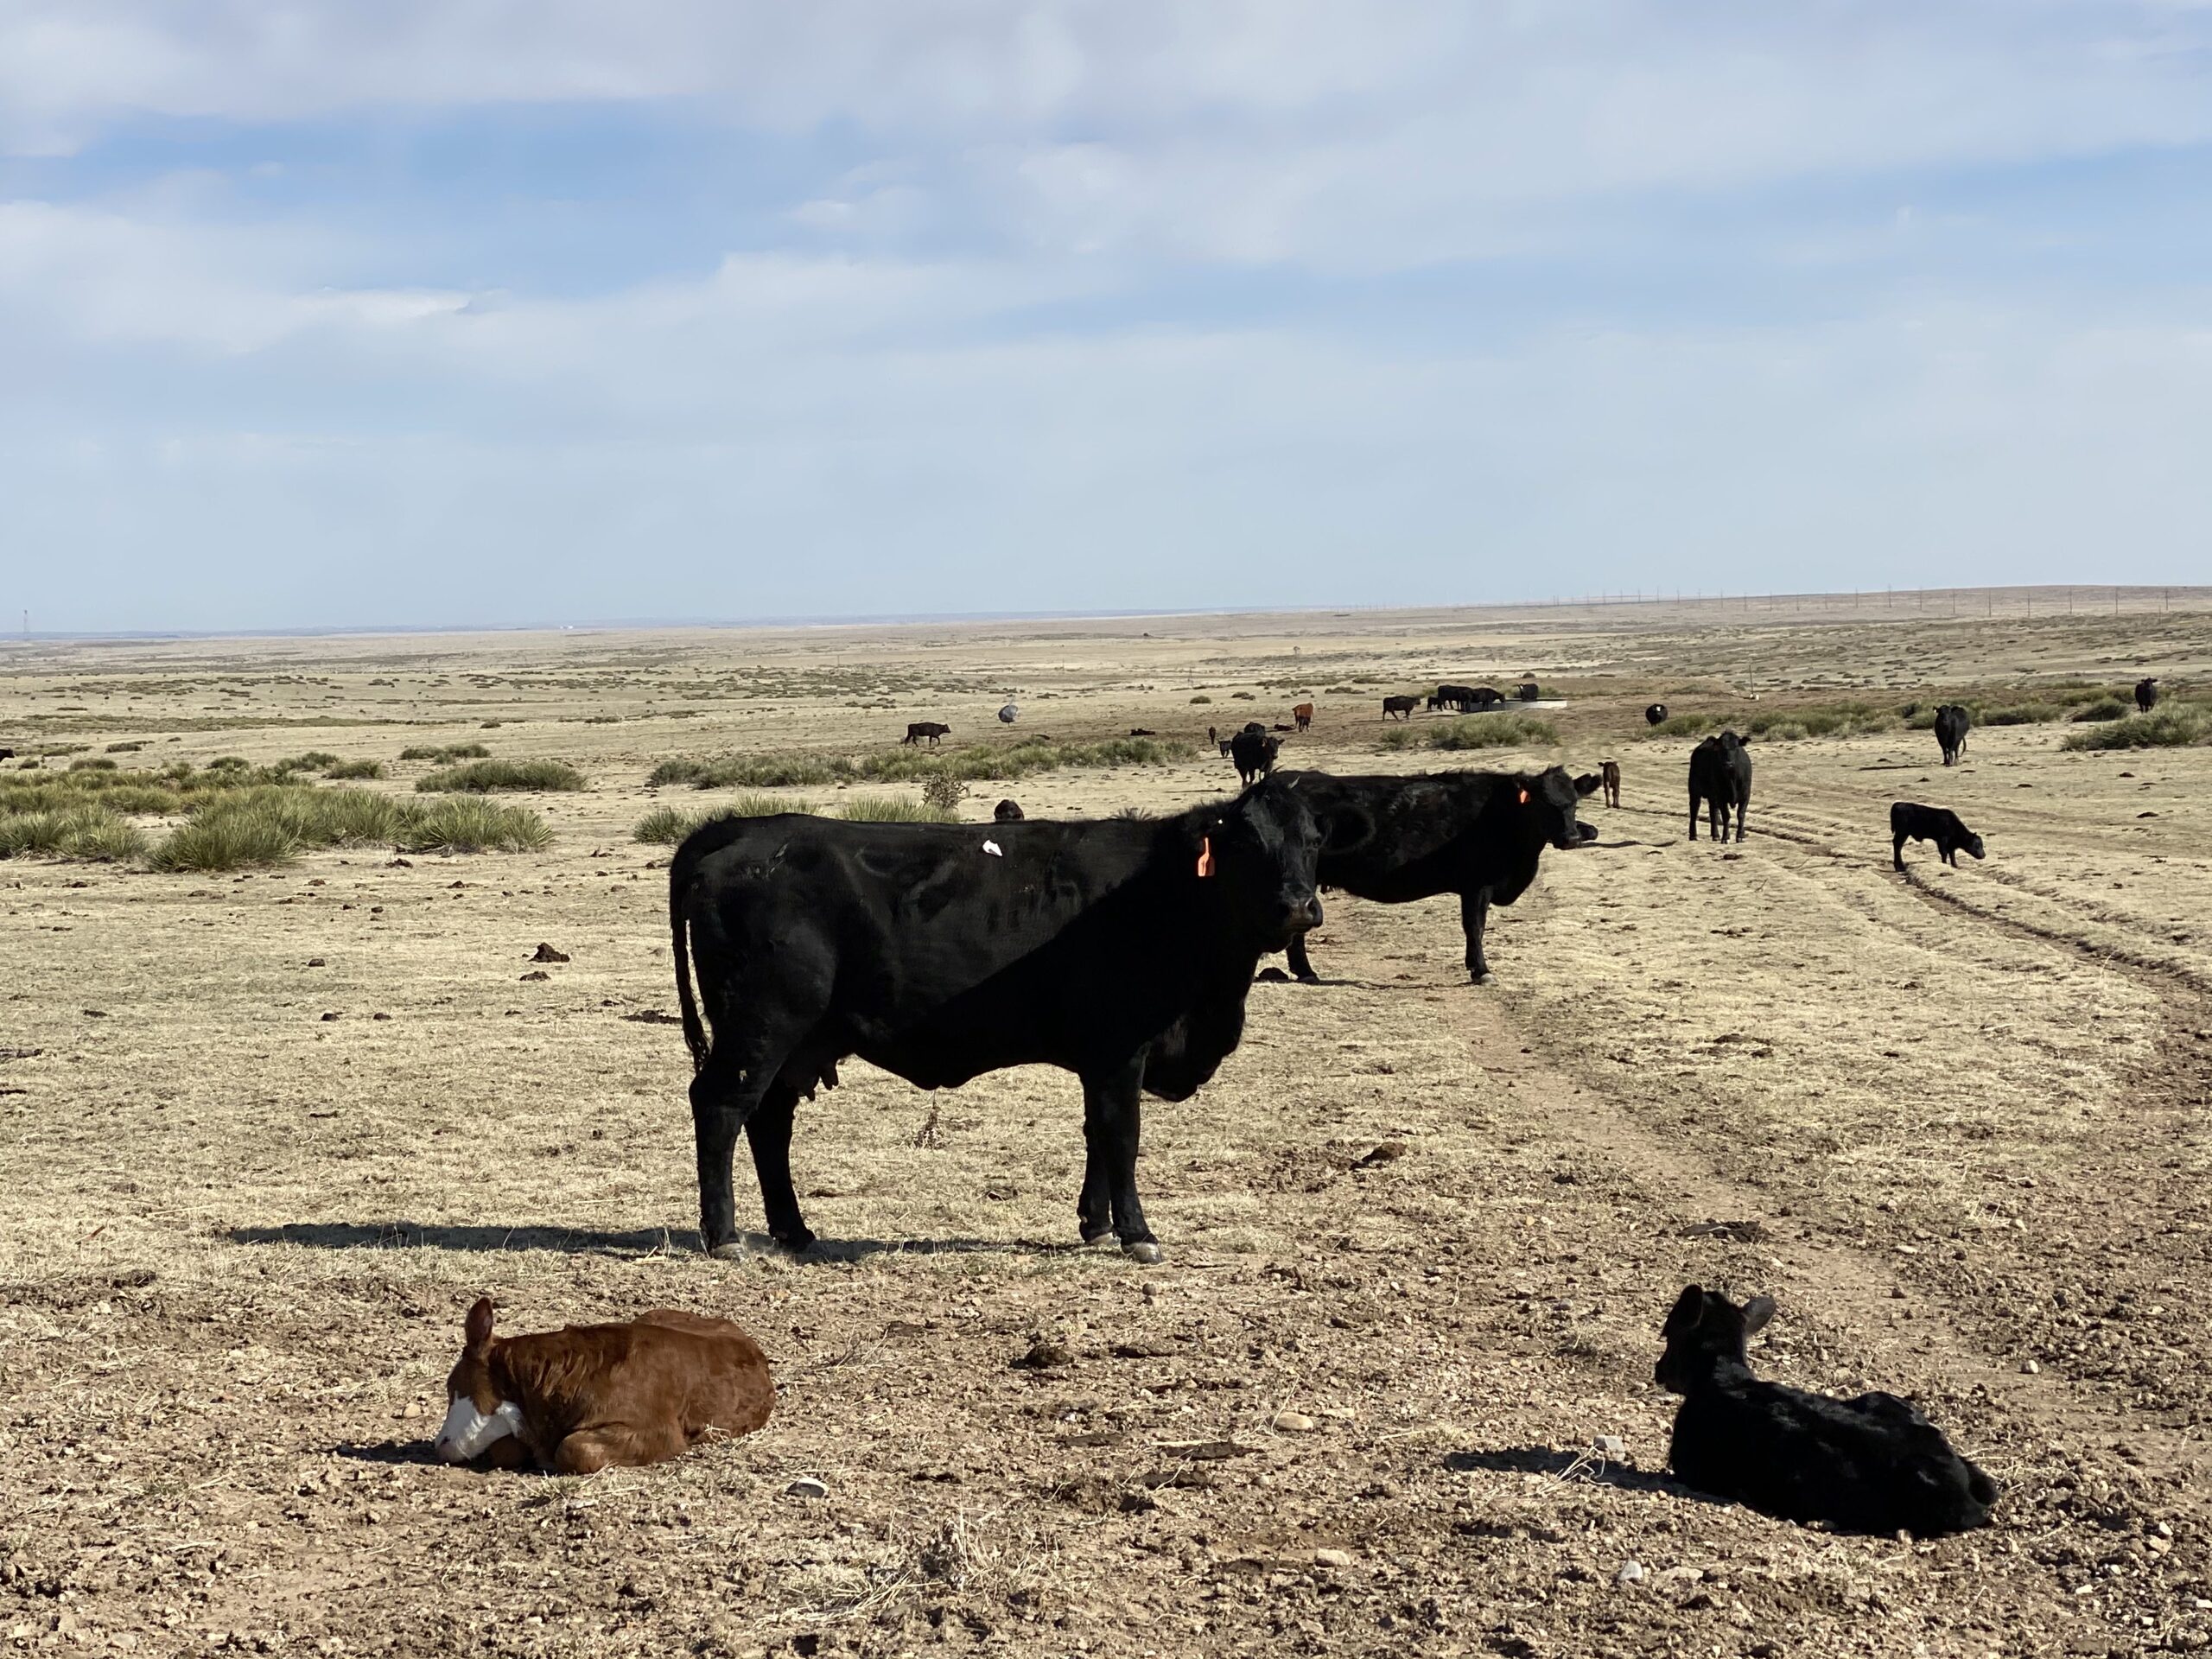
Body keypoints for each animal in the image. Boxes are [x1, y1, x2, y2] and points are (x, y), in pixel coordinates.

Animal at [668, 779, 1324, 1262]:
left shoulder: (1102, 1059)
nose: (1297, 905)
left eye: (1315, 840)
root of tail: (740, 828)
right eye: (1247, 843)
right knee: (721, 1107)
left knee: (769, 1121)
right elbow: (1122, 1136)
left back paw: (793, 1230)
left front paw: (1096, 1224)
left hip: (792, 1042)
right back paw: (724, 1237)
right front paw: (1137, 1233)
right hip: (763, 1025)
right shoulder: (1120, 1050)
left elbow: (1096, 1133)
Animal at [1271, 767, 1598, 985]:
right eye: (1544, 803)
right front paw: (1481, 970)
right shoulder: (1477, 885)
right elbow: (1475, 927)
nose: (1571, 838)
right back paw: (1306, 971)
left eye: (1574, 802)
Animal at [1688, 731, 1751, 843]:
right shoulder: (1721, 796)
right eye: (1721, 748)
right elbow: (1726, 815)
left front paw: (1740, 836)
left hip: (1713, 796)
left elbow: (1741, 814)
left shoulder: (1746, 795)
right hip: (1694, 790)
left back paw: (1715, 835)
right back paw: (1693, 835)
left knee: (1713, 811)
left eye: (1736, 747)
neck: (1732, 778)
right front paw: (1725, 837)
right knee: (1694, 809)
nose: (1728, 764)